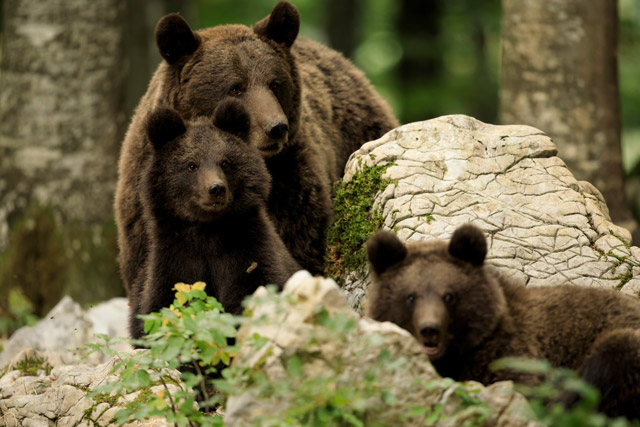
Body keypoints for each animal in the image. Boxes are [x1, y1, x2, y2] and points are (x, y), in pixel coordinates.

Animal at [128, 99, 300, 339]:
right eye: (191, 165)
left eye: (225, 162)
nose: (216, 188)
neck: (209, 231)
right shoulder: (175, 259)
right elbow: (162, 309)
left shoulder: (247, 250)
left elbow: (254, 287)